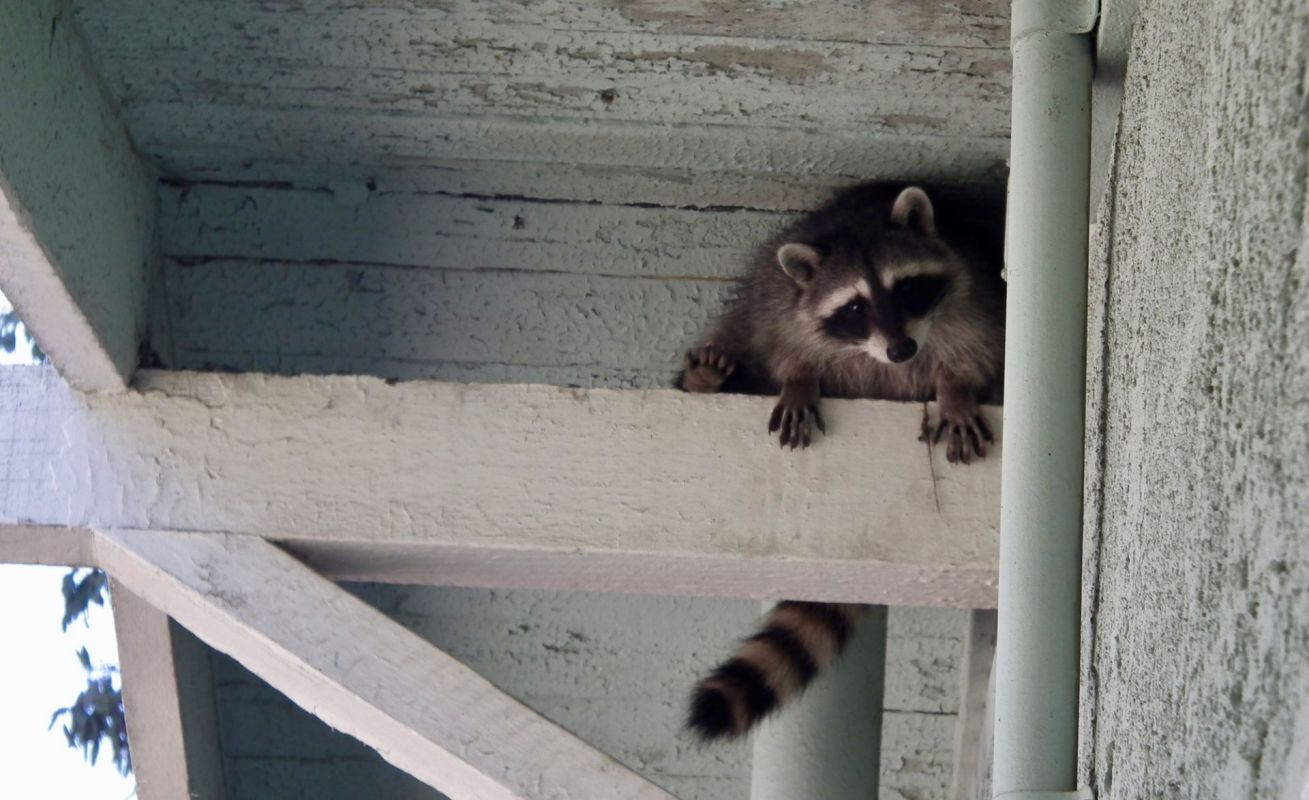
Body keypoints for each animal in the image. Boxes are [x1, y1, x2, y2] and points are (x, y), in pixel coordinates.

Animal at [677, 182, 1005, 740]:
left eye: (906, 288)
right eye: (854, 307)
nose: (902, 349)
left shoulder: (975, 288)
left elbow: (975, 346)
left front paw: (956, 390)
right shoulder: (782, 306)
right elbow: (786, 344)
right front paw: (799, 378)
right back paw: (705, 380)